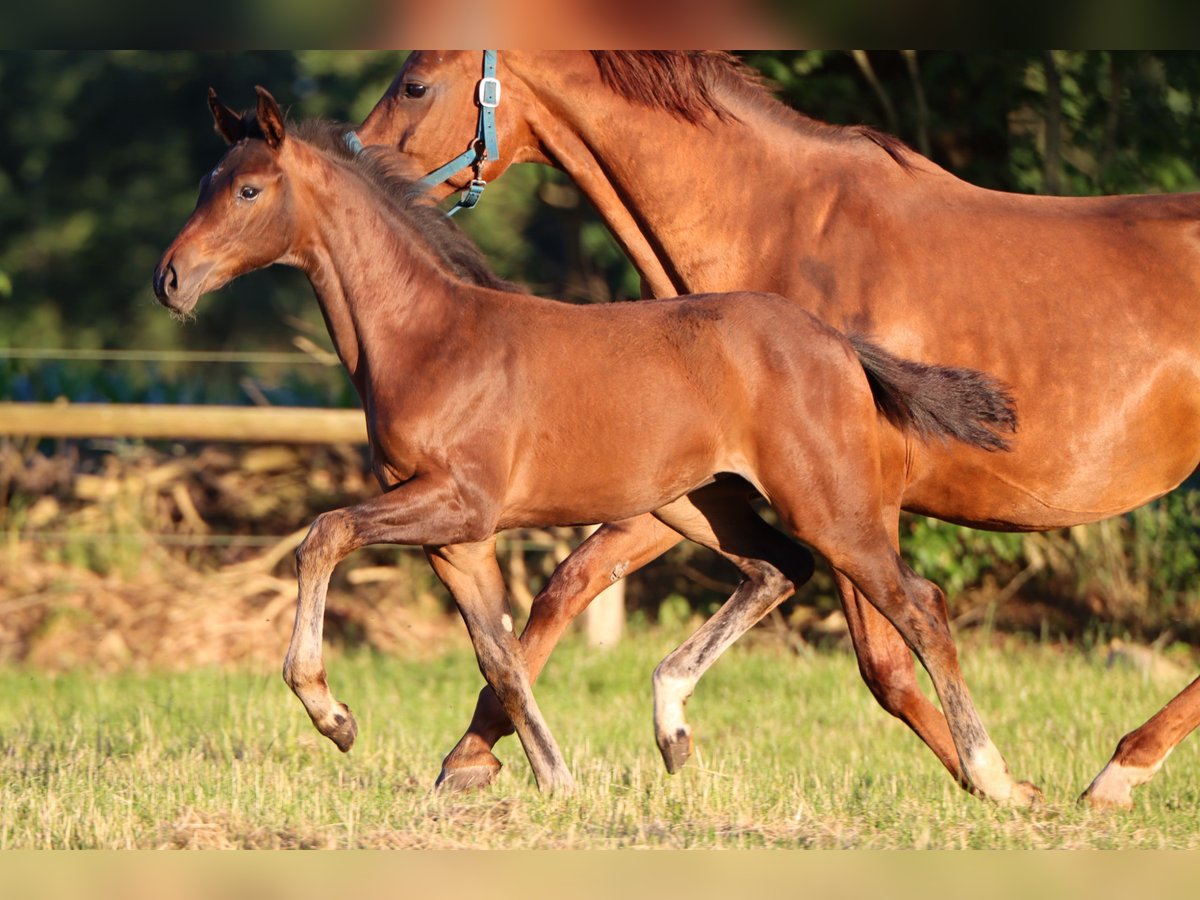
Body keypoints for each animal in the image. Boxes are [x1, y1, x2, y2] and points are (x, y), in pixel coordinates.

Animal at [152, 86, 1034, 802]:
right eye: (202, 184)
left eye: (249, 189)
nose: (170, 280)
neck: (430, 337)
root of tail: (836, 342)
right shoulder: (456, 541)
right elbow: (501, 657)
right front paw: (554, 779)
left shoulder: (457, 505)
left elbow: (323, 535)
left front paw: (331, 714)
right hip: (695, 502)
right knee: (779, 570)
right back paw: (672, 725)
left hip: (829, 503)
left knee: (918, 606)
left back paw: (994, 777)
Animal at [354, 50, 1200, 808]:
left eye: (415, 83)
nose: (356, 160)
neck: (780, 232)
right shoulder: (697, 481)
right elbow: (568, 586)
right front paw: (471, 760)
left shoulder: (844, 503)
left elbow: (888, 665)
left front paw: (999, 782)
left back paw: (1118, 772)